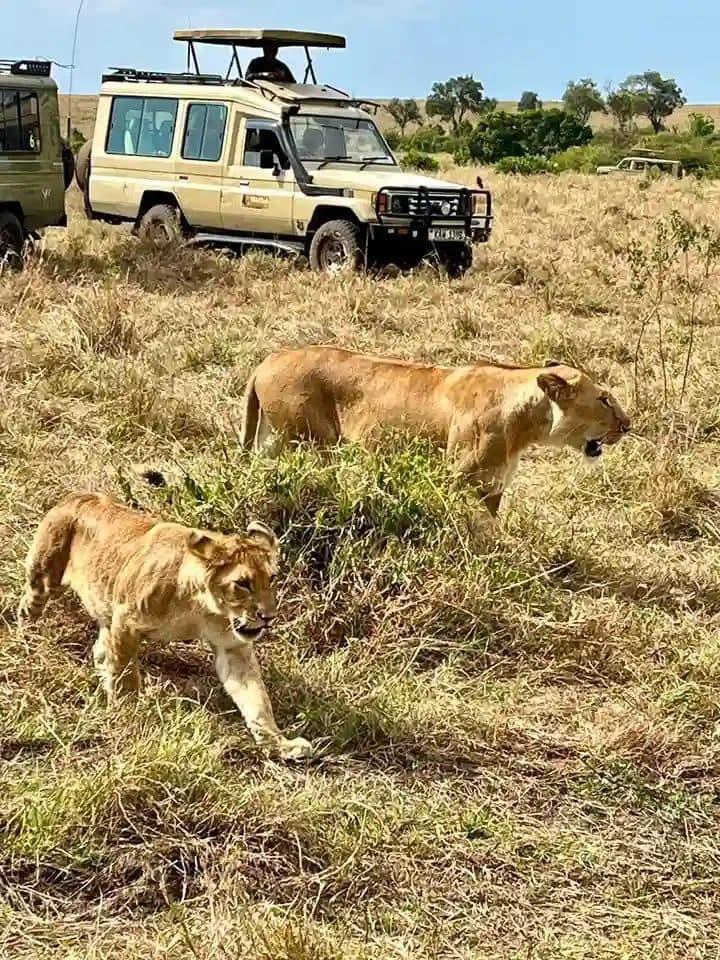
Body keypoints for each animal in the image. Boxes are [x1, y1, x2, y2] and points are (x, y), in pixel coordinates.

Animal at [17, 496, 312, 756]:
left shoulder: (232, 646)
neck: (201, 604)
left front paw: (279, 744)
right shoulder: (126, 621)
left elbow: (256, 698)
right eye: (242, 584)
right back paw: (27, 643)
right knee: (27, 609)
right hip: (44, 579)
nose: (268, 616)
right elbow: (126, 675)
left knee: (100, 647)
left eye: (271, 578)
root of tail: (75, 496)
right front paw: (129, 714)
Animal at [243, 348, 632, 516]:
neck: (524, 425)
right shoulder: (454, 479)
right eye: (604, 400)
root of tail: (266, 361)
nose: (628, 425)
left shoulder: (493, 489)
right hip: (313, 445)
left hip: (271, 441)